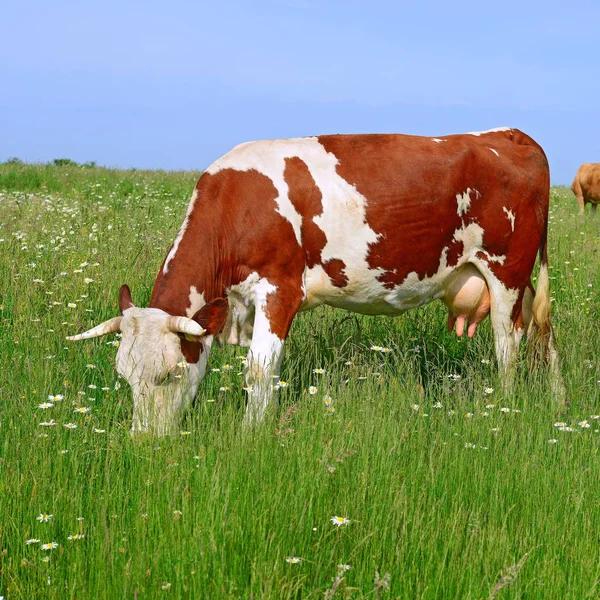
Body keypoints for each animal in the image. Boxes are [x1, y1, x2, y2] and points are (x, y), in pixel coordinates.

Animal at [69, 127, 564, 436]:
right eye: (124, 376)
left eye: (169, 373)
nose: (143, 441)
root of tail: (508, 134)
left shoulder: (279, 290)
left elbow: (259, 371)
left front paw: (250, 435)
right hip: (521, 281)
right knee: (543, 332)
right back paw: (553, 397)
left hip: (505, 271)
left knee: (507, 346)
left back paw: (503, 408)